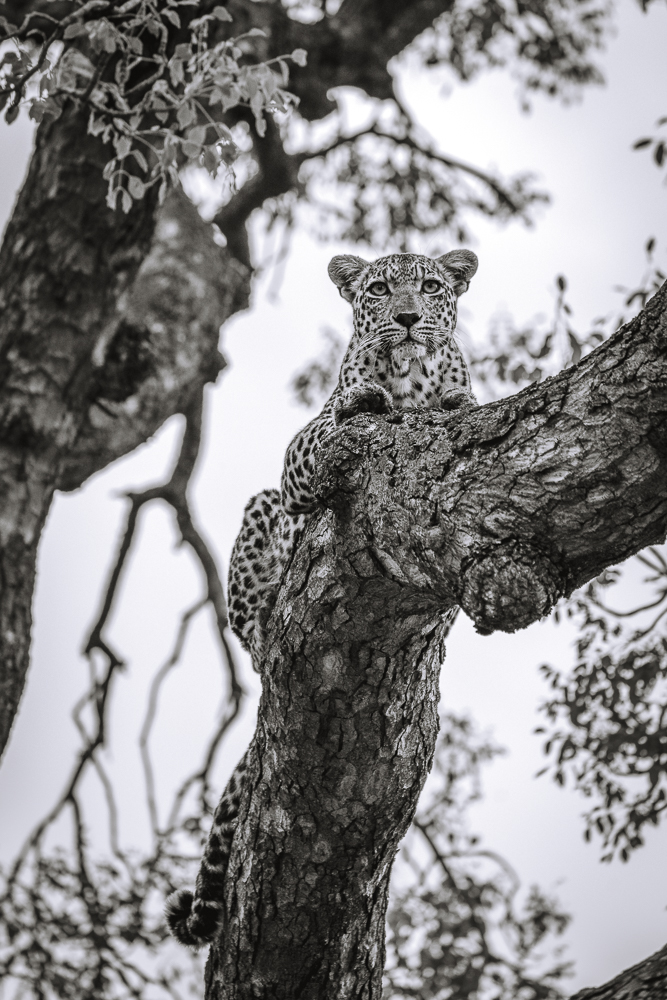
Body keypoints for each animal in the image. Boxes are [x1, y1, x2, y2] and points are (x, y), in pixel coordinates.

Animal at [167, 246, 480, 948]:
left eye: (430, 286)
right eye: (378, 289)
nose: (409, 318)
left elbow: (460, 404)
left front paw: (449, 396)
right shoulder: (300, 455)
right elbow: (334, 425)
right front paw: (364, 400)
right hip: (262, 514)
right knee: (254, 629)